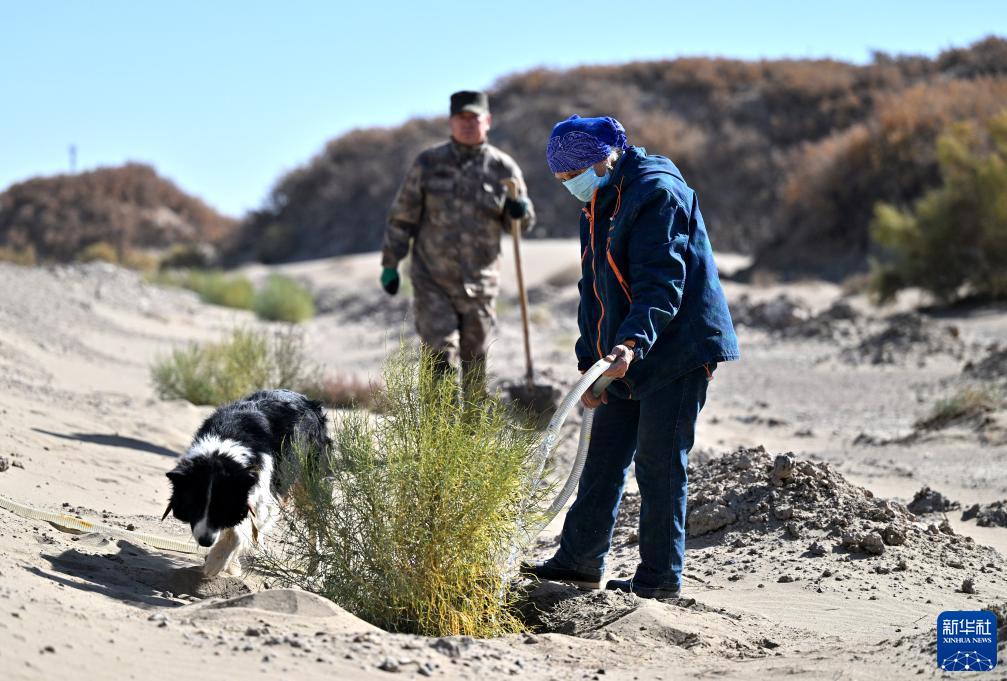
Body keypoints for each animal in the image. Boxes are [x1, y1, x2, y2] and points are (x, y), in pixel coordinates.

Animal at [163, 389, 330, 577]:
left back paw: (315, 567)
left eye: (221, 507)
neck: (223, 449)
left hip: (309, 478)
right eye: (195, 505)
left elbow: (239, 531)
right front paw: (229, 562)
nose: (206, 542)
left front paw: (216, 563)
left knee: (316, 520)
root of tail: (308, 400)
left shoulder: (262, 490)